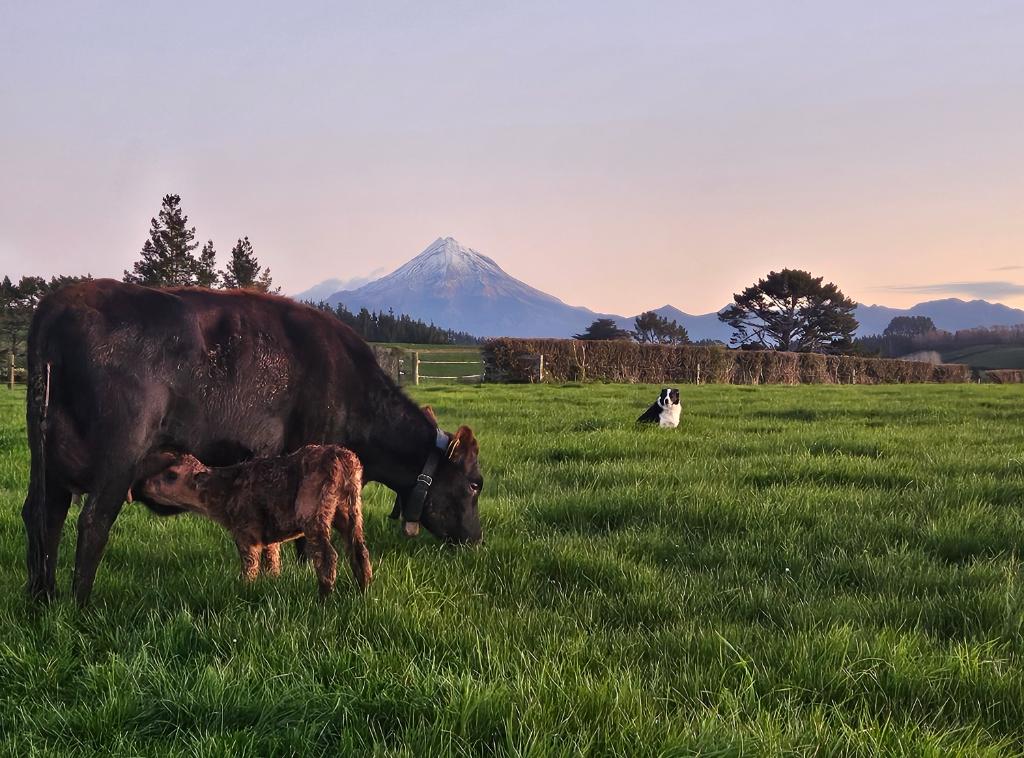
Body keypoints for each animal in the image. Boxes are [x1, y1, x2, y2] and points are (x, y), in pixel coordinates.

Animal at [22, 279, 483, 604]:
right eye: (475, 483)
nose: (477, 540)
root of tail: (56, 305)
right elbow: (305, 537)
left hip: (47, 461)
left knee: (42, 515)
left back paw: (42, 598)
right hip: (120, 455)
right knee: (93, 521)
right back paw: (82, 604)